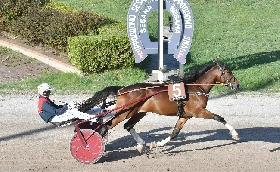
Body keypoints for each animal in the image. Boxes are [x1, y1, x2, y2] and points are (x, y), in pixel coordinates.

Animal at [79, 59, 241, 152]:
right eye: (228, 72)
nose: (237, 85)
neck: (195, 88)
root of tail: (122, 89)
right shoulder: (198, 111)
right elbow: (220, 118)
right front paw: (234, 133)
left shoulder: (185, 115)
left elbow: (174, 133)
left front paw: (156, 144)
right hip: (124, 112)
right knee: (106, 125)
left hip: (138, 112)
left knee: (128, 126)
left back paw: (141, 145)